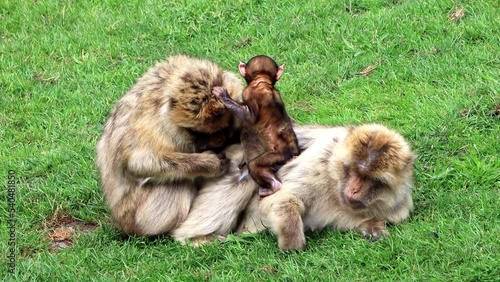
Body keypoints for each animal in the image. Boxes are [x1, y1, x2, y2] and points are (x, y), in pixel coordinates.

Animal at [210, 55, 296, 198]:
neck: (262, 81)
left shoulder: (249, 92)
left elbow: (248, 116)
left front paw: (223, 95)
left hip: (277, 156)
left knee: (256, 165)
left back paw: (272, 187)